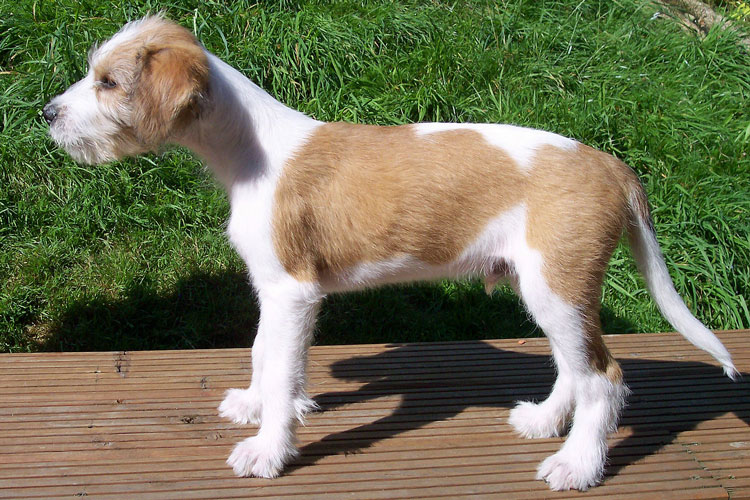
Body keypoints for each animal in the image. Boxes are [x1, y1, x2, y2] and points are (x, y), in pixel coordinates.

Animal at [43, 15, 737, 491]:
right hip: (545, 288)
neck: (249, 148)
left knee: (605, 378)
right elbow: (264, 352)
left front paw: (269, 449)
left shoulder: (292, 292)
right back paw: (544, 422)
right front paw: (255, 404)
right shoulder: (274, 288)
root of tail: (610, 166)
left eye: (108, 83)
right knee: (576, 365)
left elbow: (281, 365)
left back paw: (576, 464)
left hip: (557, 285)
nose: (46, 113)